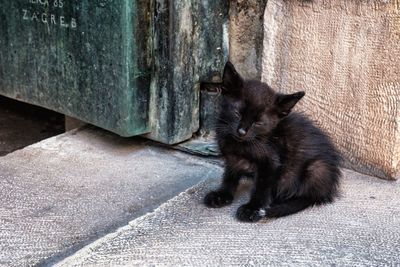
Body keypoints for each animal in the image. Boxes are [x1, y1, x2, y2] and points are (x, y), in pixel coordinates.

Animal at [203, 61, 340, 223]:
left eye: (258, 123)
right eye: (237, 113)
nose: (241, 132)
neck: (243, 144)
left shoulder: (270, 163)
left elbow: (262, 187)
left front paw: (253, 208)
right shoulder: (232, 158)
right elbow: (229, 176)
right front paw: (222, 195)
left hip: (316, 168)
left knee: (308, 197)